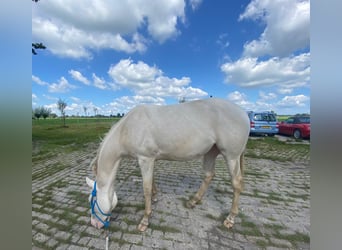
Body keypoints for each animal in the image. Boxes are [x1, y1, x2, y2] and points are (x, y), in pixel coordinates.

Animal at [87, 98, 250, 231]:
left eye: (92, 201)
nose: (94, 224)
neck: (128, 128)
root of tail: (243, 112)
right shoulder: (151, 160)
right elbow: (152, 182)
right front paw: (155, 197)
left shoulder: (145, 159)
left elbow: (146, 188)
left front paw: (145, 220)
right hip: (211, 152)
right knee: (209, 175)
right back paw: (193, 202)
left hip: (231, 156)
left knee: (236, 183)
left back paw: (230, 219)